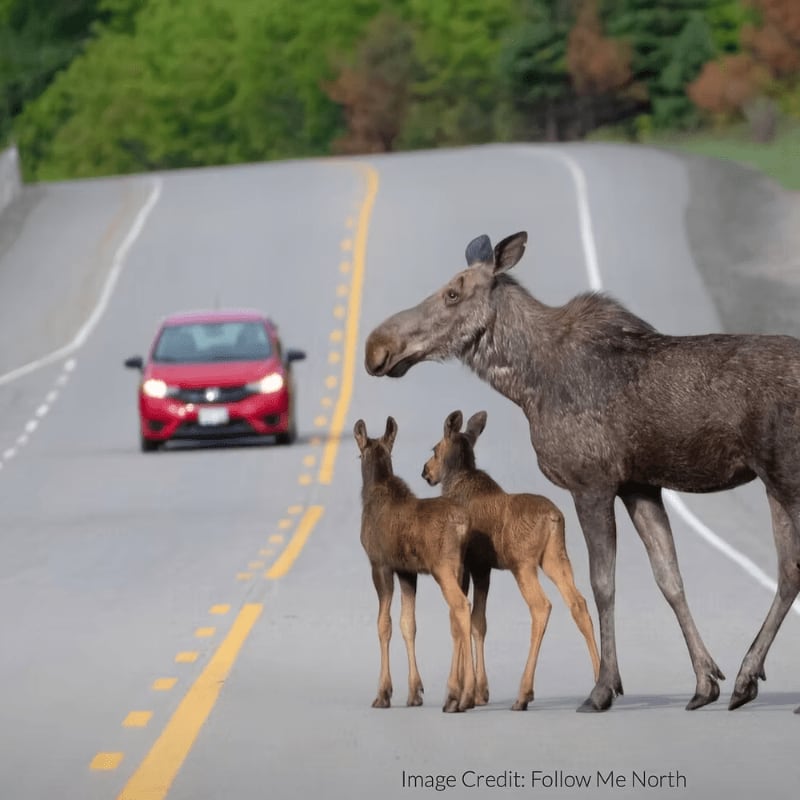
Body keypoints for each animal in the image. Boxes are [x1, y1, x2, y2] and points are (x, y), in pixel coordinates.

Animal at [354, 416, 476, 712]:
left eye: (359, 453)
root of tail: (463, 526)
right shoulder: (407, 571)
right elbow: (408, 623)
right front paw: (414, 692)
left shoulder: (380, 564)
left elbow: (383, 624)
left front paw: (383, 693)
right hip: (462, 570)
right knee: (458, 616)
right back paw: (457, 694)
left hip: (444, 568)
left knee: (461, 607)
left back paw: (462, 695)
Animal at [422, 408, 600, 710]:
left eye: (435, 449)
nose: (425, 471)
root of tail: (554, 518)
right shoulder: (483, 568)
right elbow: (478, 622)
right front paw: (480, 692)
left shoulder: (466, 565)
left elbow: (458, 621)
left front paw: (456, 695)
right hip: (555, 558)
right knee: (578, 602)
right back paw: (603, 680)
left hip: (523, 564)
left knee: (542, 606)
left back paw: (523, 693)